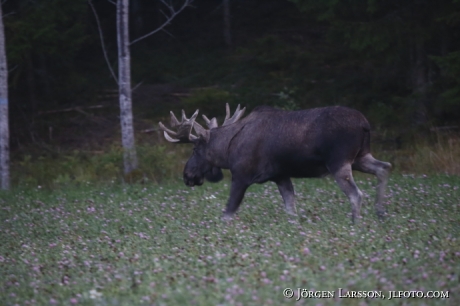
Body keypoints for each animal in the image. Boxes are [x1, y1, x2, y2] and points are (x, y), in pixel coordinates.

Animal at [159, 103, 392, 222]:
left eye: (195, 149)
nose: (187, 175)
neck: (227, 150)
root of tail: (365, 124)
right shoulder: (280, 176)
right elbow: (291, 209)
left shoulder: (241, 175)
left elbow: (227, 213)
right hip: (360, 157)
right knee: (384, 168)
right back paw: (380, 213)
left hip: (339, 161)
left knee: (356, 194)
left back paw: (356, 223)